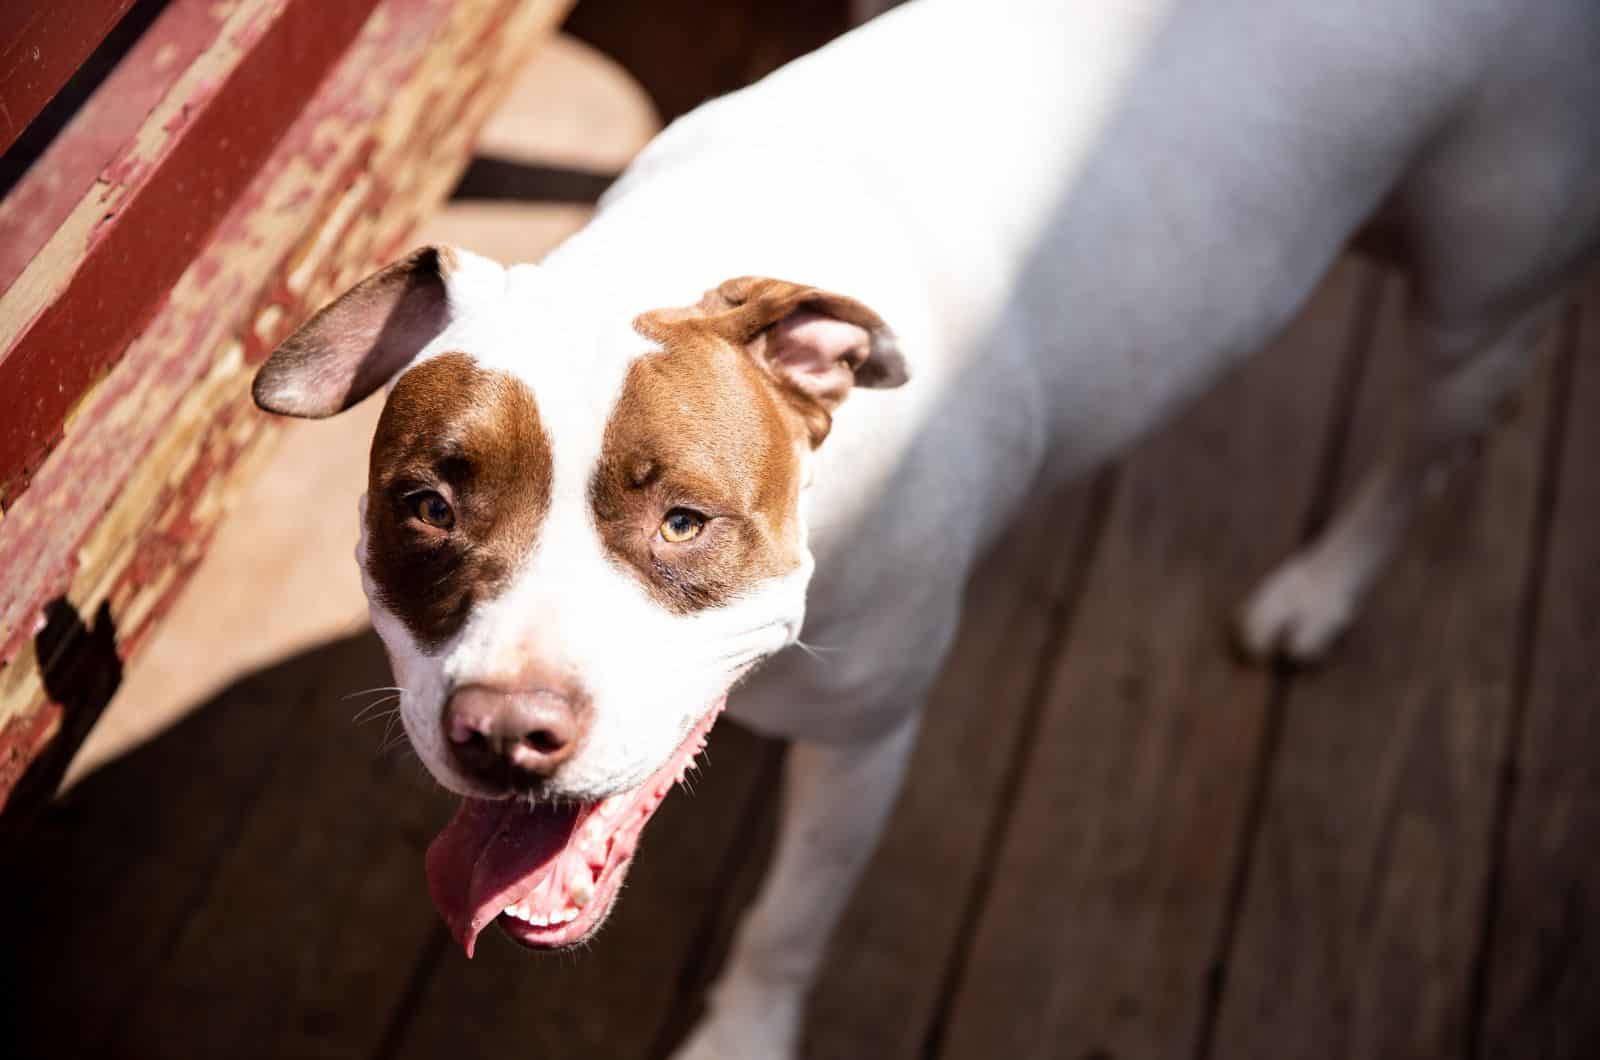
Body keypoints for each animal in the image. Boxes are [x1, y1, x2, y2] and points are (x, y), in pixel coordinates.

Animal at [249, 0, 1600, 1056]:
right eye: (426, 507)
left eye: (684, 521)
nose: (504, 732)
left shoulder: (865, 741)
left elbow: (788, 922)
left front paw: (742, 1038)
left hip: (1480, 300)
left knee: (1431, 448)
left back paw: (1317, 590)